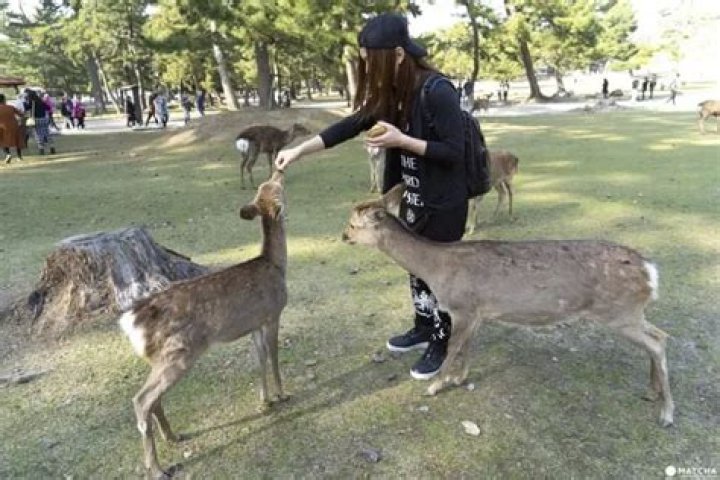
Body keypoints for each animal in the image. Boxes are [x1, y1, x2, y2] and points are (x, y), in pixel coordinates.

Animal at [119, 170, 289, 478]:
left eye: (266, 186)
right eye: (274, 186)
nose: (279, 170)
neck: (277, 266)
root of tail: (131, 322)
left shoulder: (254, 323)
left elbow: (259, 359)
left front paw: (265, 400)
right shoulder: (273, 313)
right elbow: (273, 357)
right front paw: (282, 395)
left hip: (160, 356)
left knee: (153, 399)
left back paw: (173, 437)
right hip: (179, 352)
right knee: (142, 400)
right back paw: (158, 469)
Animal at [342, 183, 674, 427]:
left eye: (353, 224)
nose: (343, 235)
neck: (437, 268)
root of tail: (650, 272)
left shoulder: (462, 306)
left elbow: (452, 348)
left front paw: (435, 386)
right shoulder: (476, 312)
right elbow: (466, 348)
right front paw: (459, 378)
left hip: (618, 312)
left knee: (657, 342)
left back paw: (667, 413)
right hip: (630, 312)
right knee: (660, 336)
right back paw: (652, 392)